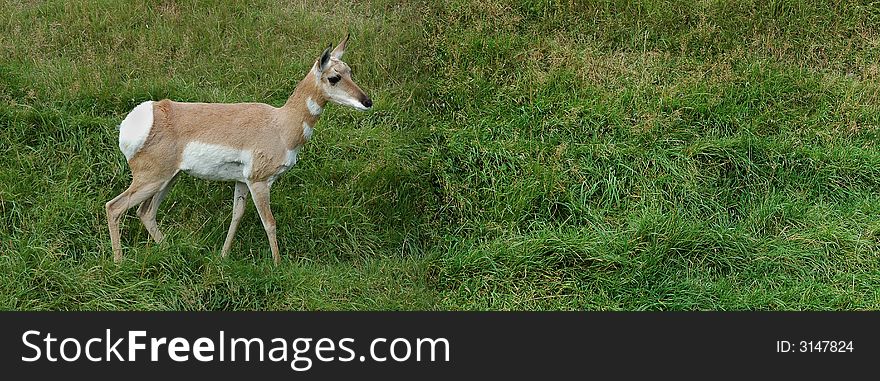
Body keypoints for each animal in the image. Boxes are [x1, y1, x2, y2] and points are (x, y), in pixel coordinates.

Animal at [105, 34, 370, 264]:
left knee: (145, 212)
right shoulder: (259, 181)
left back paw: (170, 249)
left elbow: (237, 215)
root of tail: (143, 117)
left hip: (169, 178)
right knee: (114, 207)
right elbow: (269, 222)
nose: (367, 101)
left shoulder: (241, 181)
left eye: (350, 71)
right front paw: (278, 265)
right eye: (334, 77)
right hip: (152, 179)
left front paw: (223, 256)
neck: (280, 124)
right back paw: (119, 262)